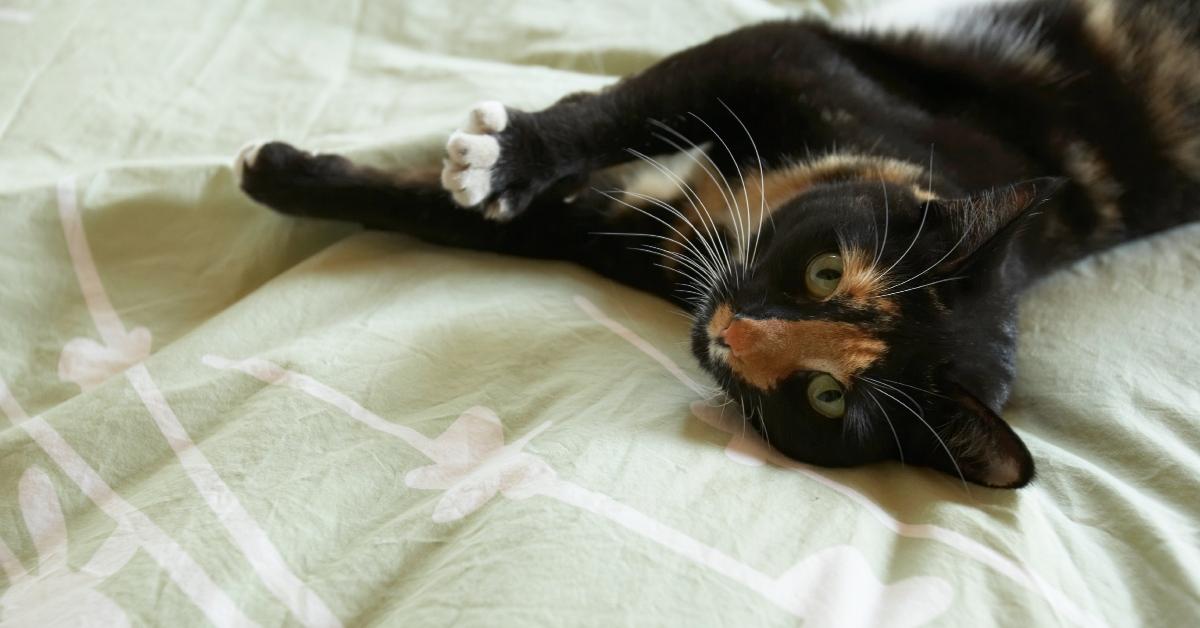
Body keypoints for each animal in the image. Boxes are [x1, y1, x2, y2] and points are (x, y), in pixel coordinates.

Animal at [234, 0, 1200, 492]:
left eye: (825, 398)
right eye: (826, 272)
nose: (732, 335)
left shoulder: (641, 236)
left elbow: (488, 225)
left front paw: (291, 177)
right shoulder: (788, 55)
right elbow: (624, 108)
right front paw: (504, 159)